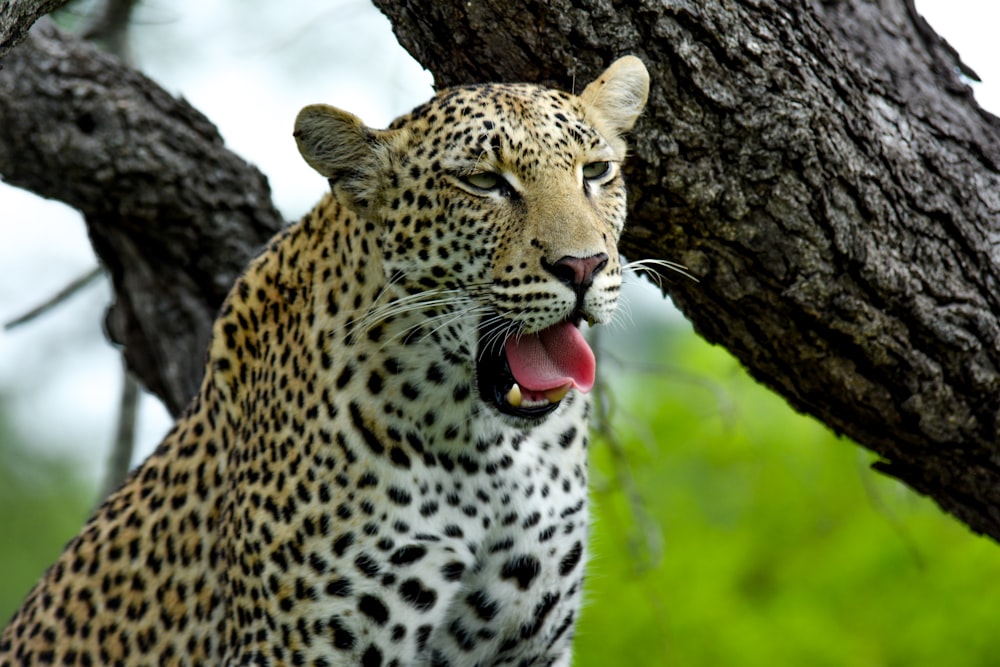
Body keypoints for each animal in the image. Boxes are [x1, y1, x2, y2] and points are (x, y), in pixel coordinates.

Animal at [0, 54, 652, 664]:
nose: (584, 266)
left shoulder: (526, 644)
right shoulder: (299, 646)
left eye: (596, 172)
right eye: (484, 183)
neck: (490, 455)